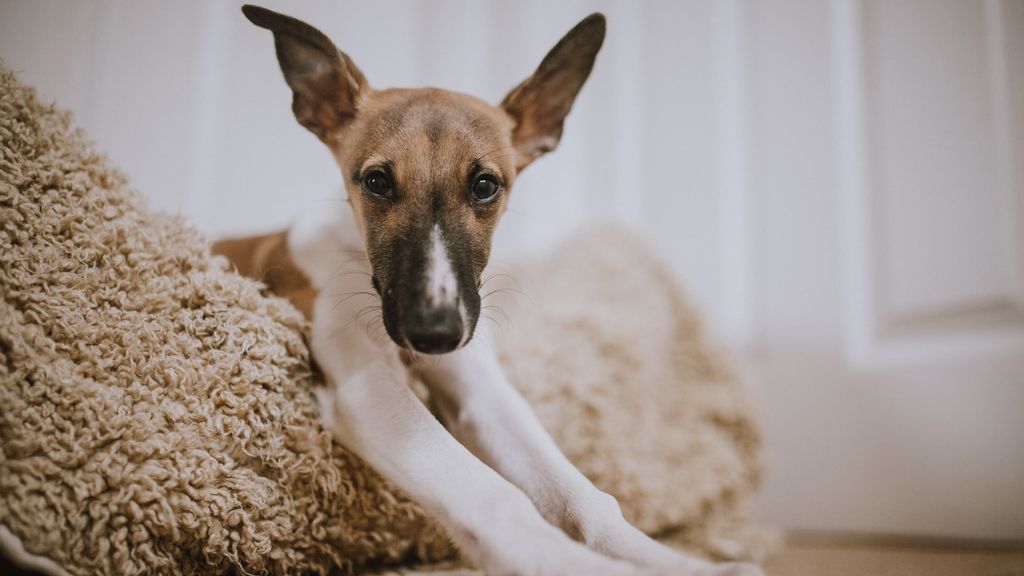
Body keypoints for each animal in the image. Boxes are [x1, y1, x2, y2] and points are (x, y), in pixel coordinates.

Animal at [216, 5, 761, 573]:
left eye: (485, 185)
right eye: (377, 182)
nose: (434, 334)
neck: (355, 253)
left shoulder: (480, 389)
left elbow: (587, 499)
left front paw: (682, 563)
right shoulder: (364, 386)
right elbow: (495, 496)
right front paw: (561, 561)